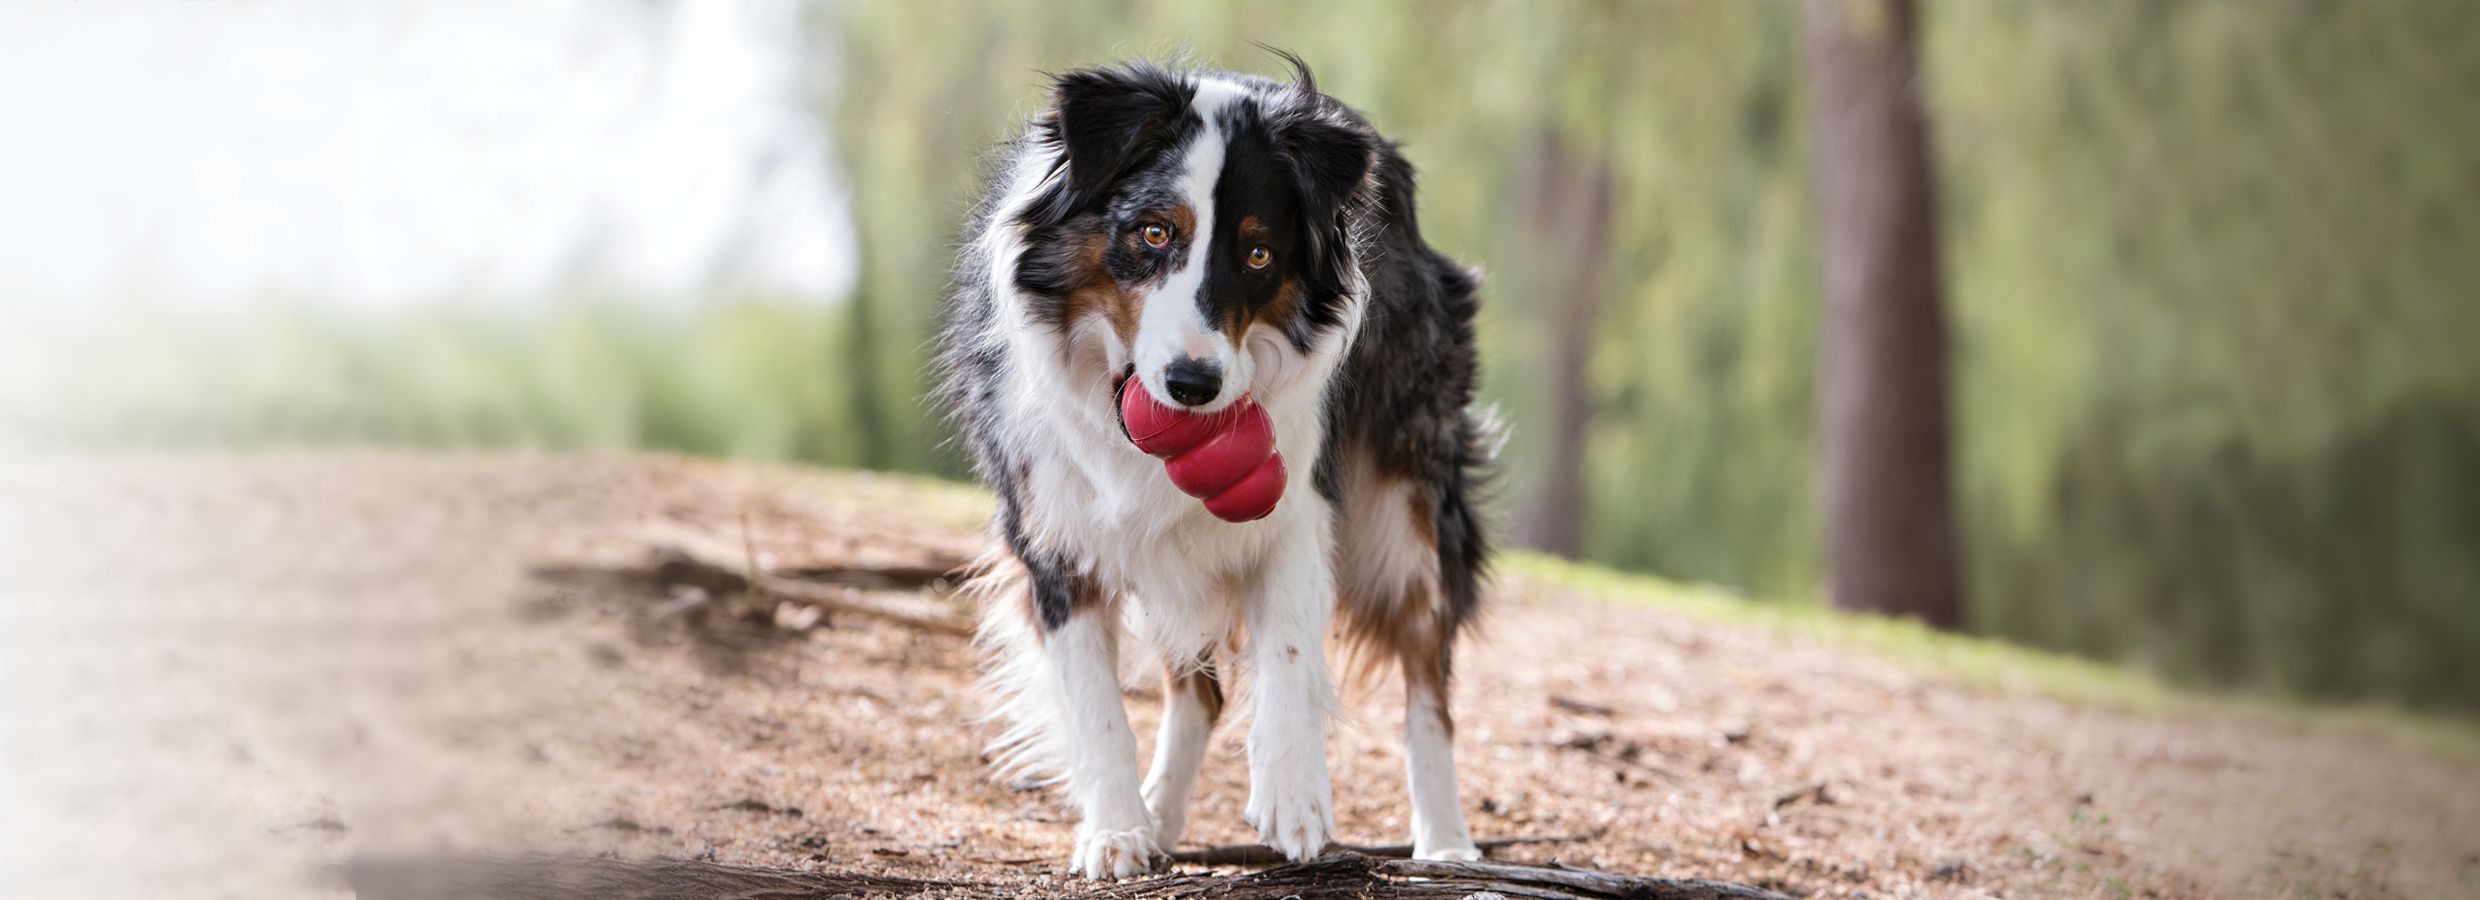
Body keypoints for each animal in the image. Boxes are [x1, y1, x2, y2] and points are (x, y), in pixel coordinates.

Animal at [937, 54, 1488, 882]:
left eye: (1259, 254)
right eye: (1154, 232)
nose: (1192, 385)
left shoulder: (1299, 506)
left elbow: (1288, 651)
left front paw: (1295, 798)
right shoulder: (1055, 532)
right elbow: (1094, 701)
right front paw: (1116, 831)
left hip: (1406, 512)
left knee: (1427, 675)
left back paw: (1447, 840)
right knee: (1195, 692)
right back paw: (1159, 815)